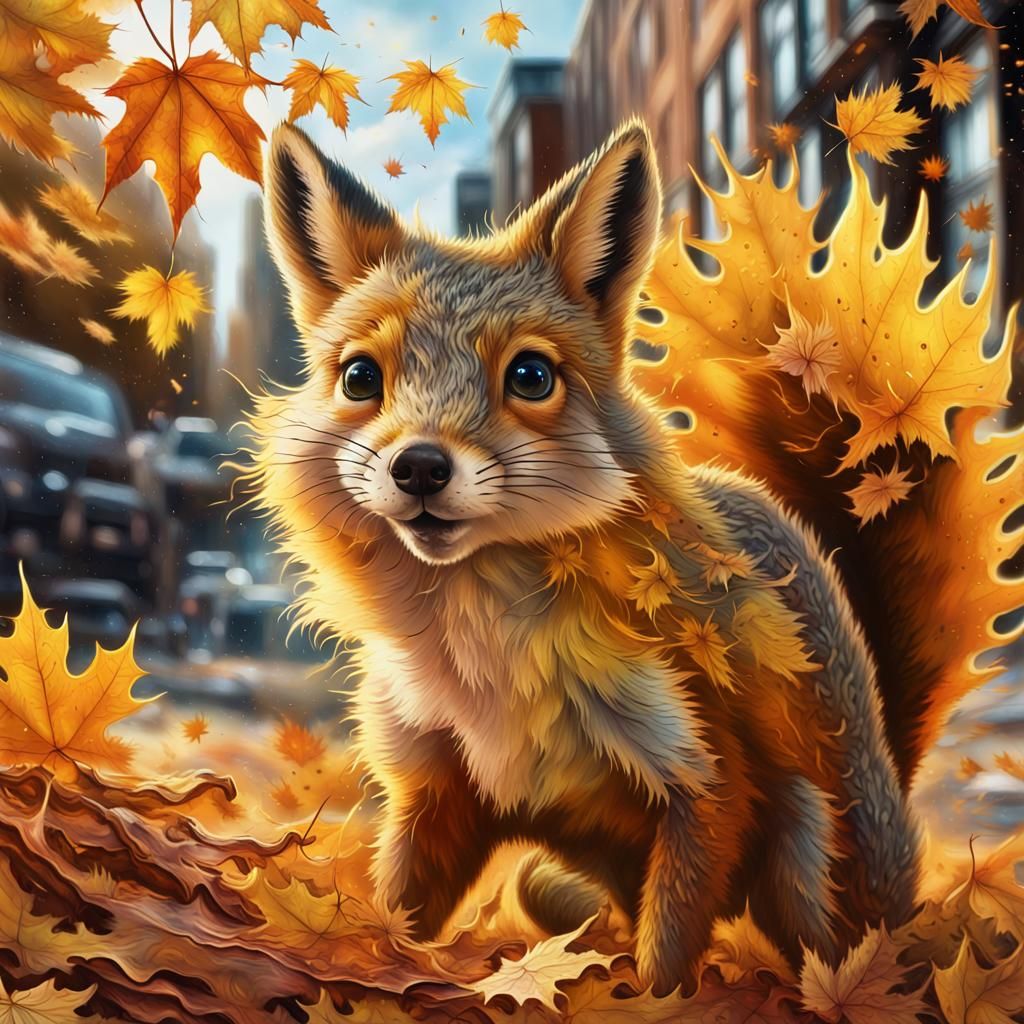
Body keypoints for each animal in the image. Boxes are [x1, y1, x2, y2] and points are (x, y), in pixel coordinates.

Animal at [247, 118, 935, 994]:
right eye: (362, 376)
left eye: (531, 375)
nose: (420, 468)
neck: (489, 668)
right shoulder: (434, 784)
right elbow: (394, 915)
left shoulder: (705, 779)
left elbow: (667, 962)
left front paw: (651, 999)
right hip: (544, 883)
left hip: (810, 862)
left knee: (828, 950)